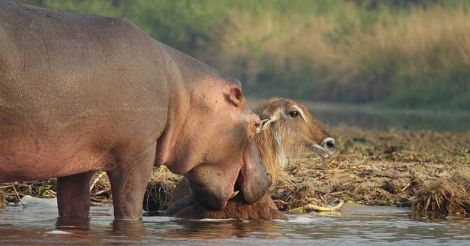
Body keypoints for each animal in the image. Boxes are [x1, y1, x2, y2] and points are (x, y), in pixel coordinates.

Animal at [0, 0, 270, 221]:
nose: (268, 176)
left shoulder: (77, 162)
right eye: (256, 123)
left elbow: (74, 206)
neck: (184, 92)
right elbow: (130, 202)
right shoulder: (137, 152)